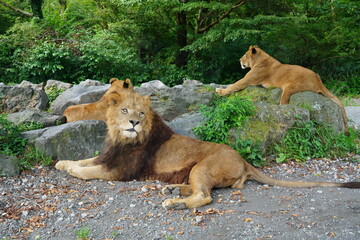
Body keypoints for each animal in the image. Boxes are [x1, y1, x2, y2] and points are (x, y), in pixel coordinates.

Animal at [54, 91, 358, 209]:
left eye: (141, 112)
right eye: (125, 110)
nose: (133, 123)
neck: (121, 138)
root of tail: (244, 160)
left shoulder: (121, 171)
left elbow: (87, 171)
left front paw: (69, 169)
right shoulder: (108, 156)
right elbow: (84, 160)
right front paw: (61, 163)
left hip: (202, 166)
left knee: (205, 196)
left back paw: (174, 203)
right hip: (194, 172)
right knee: (200, 189)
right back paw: (173, 191)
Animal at [215, 46, 348, 132]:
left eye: (245, 55)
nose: (239, 60)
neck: (260, 59)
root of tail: (319, 80)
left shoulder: (248, 80)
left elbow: (235, 84)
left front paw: (220, 92)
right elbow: (232, 84)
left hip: (289, 88)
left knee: (284, 106)